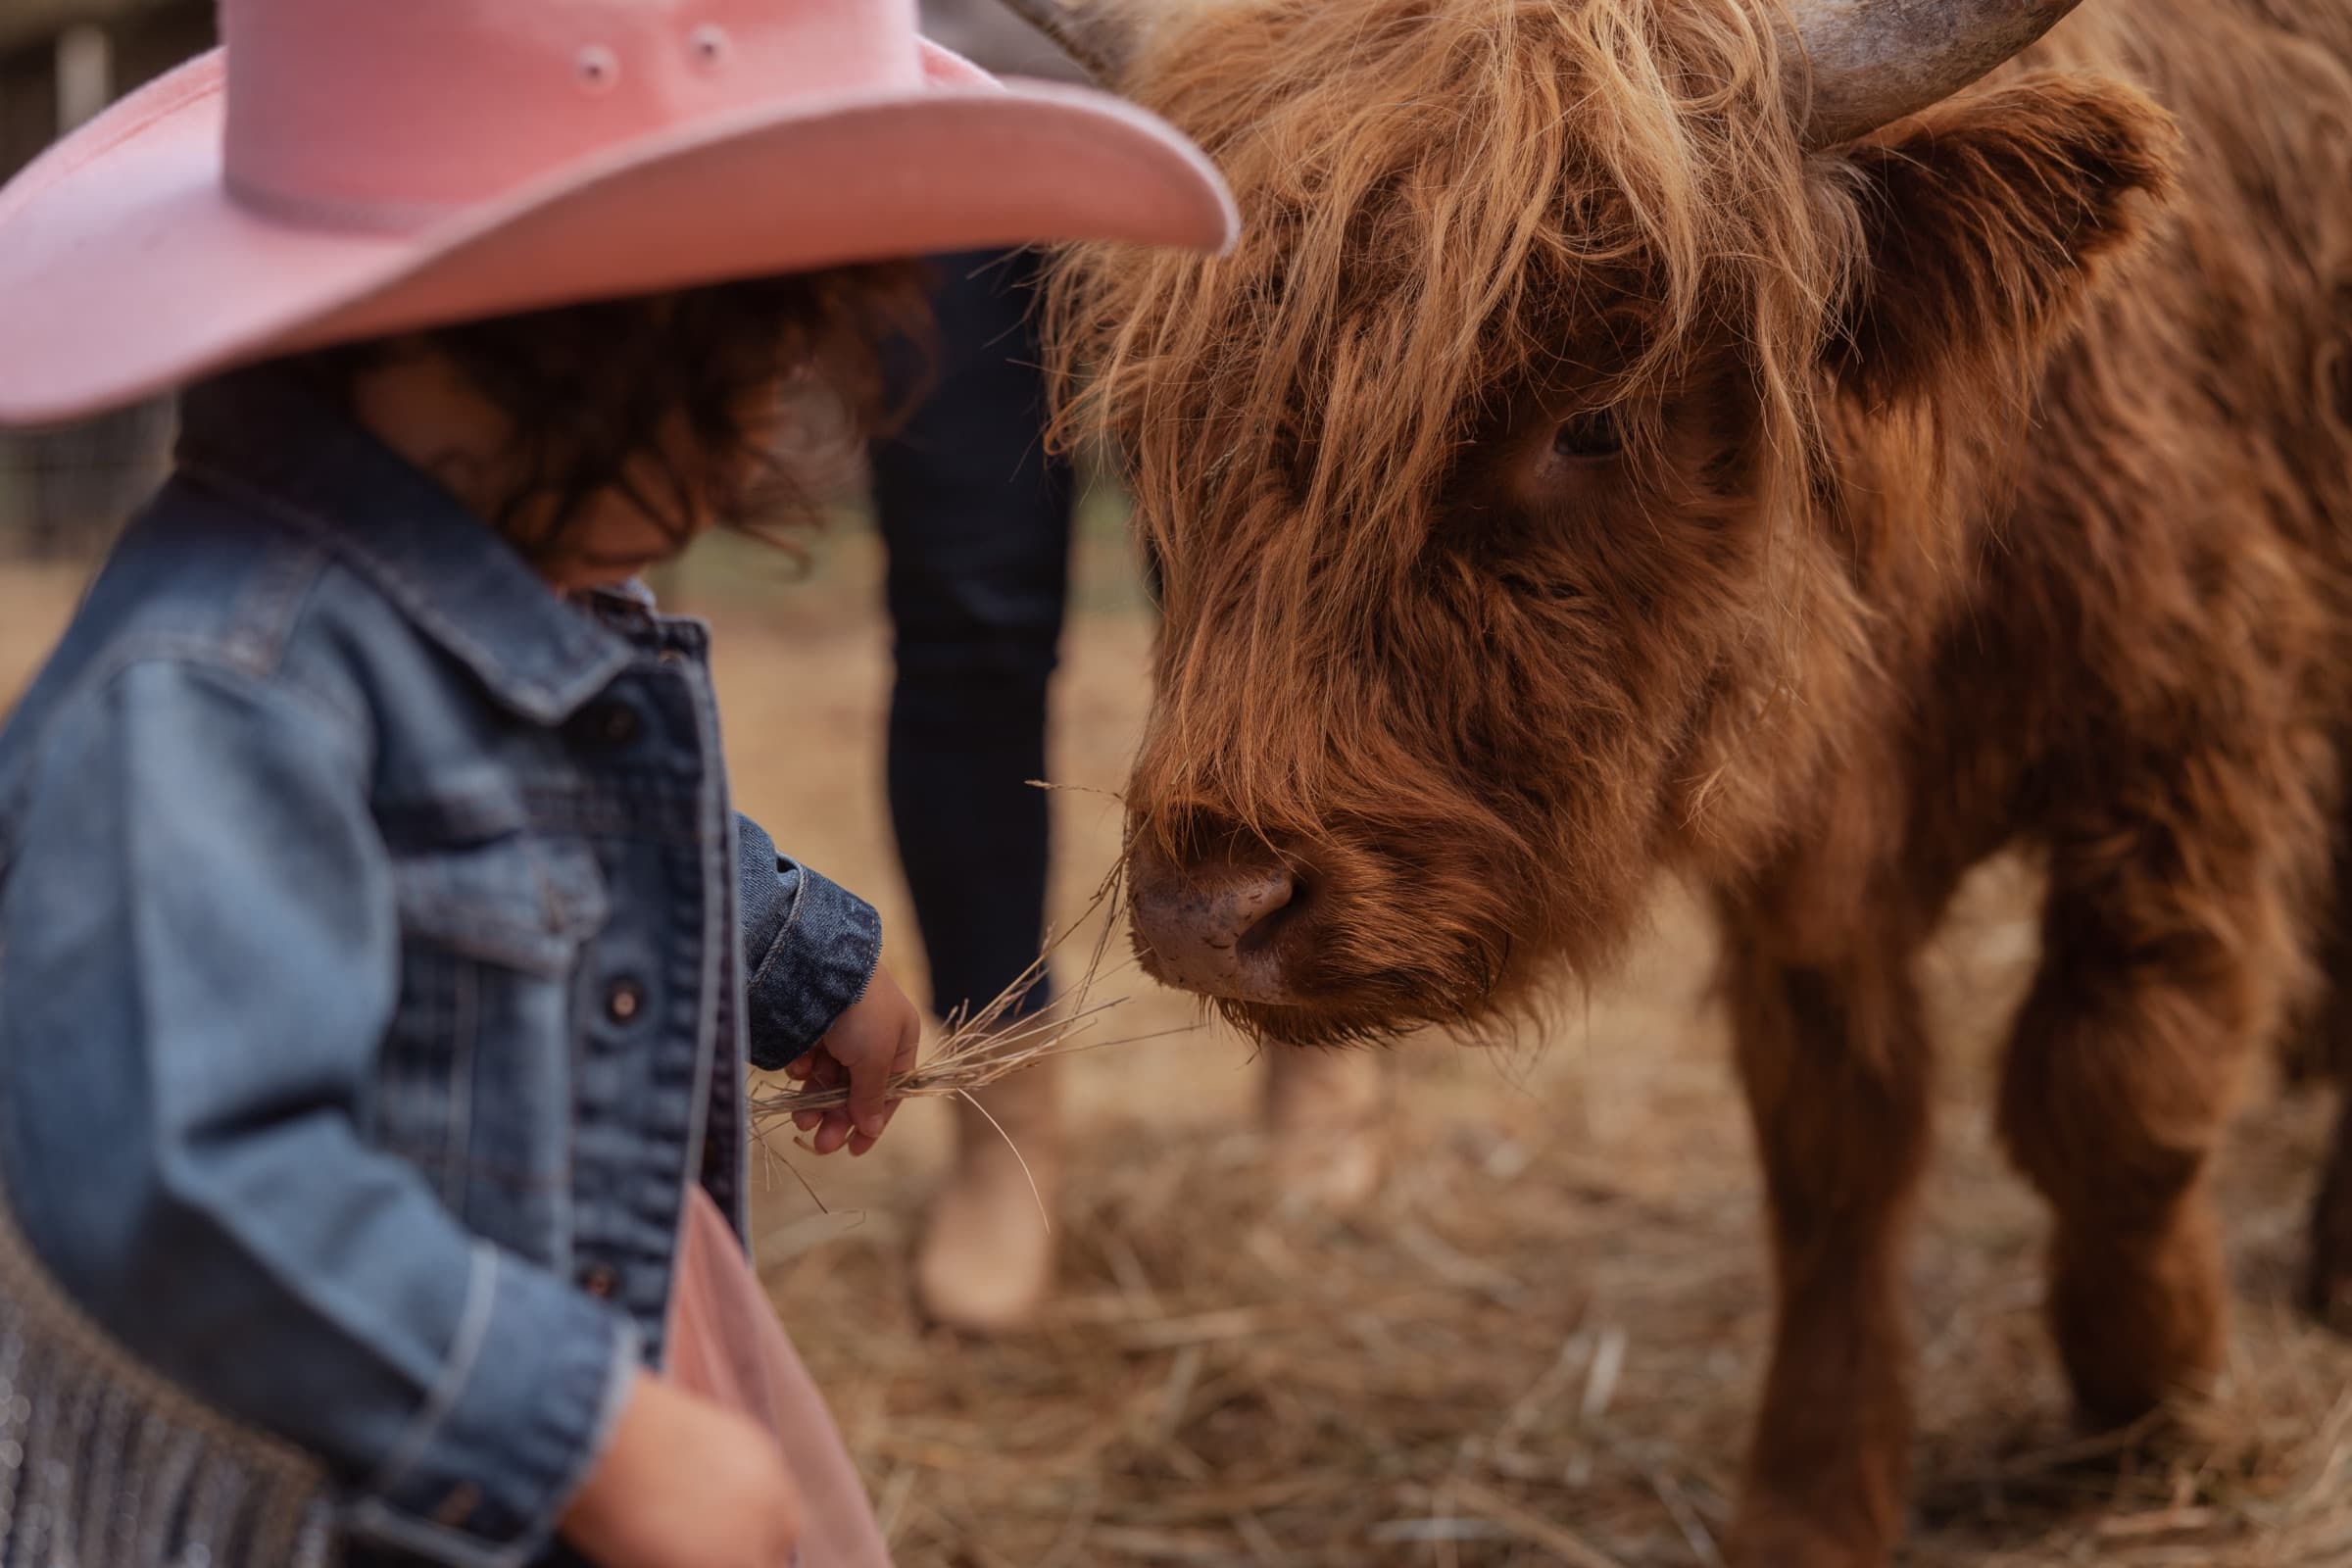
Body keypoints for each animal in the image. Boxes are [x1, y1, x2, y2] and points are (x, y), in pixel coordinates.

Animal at [1004, 0, 2352, 1562]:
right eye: (1170, 414)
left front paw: (2156, 1396)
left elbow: (2117, 1098)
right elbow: (1836, 1148)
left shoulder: (2195, 748)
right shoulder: (1803, 863)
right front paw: (1813, 1495)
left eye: (1598, 416)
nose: (1214, 908)